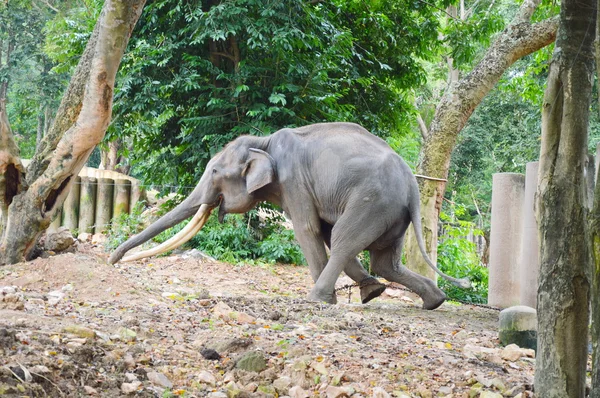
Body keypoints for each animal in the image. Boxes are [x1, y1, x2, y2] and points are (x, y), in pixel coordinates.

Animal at [110, 123, 472, 310]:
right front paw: (371, 291)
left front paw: (338, 296)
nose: (112, 259)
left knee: (344, 240)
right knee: (384, 261)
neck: (263, 140)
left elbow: (309, 230)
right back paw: (431, 301)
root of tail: (413, 185)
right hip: (392, 212)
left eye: (214, 172)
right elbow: (321, 230)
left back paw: (317, 299)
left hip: (373, 201)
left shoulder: (294, 180)